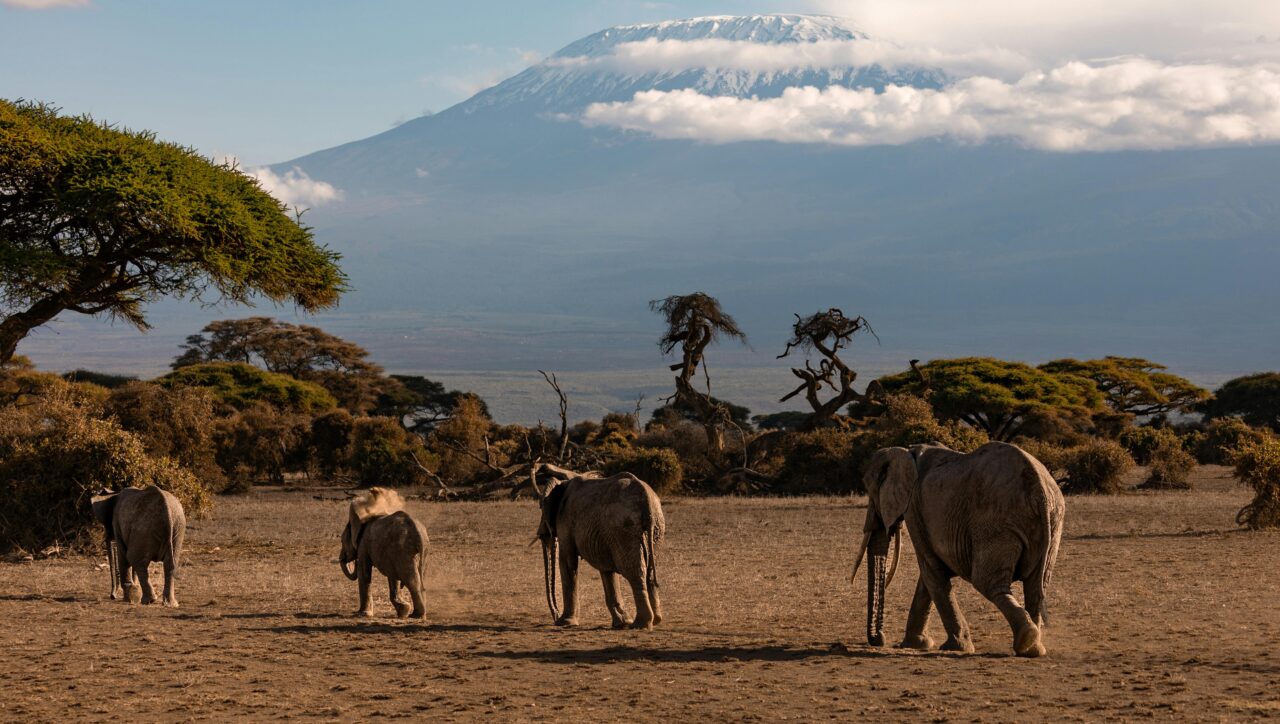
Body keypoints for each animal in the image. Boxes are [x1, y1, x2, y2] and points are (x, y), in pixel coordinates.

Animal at [339, 488, 429, 619]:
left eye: (341, 541)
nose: (352, 560)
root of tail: (417, 531)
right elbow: (393, 576)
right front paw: (403, 611)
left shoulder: (364, 543)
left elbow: (364, 572)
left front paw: (362, 614)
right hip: (419, 551)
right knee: (420, 578)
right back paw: (418, 614)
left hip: (404, 549)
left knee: (412, 580)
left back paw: (416, 615)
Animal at [536, 471, 665, 629]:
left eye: (541, 506)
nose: (555, 616)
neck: (563, 483)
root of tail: (646, 500)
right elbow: (606, 569)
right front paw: (621, 623)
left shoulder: (565, 521)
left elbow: (567, 561)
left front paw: (565, 623)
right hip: (655, 529)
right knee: (649, 571)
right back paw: (655, 620)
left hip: (624, 528)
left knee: (635, 572)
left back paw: (640, 624)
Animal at [853, 441, 1064, 657]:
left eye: (871, 491)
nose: (879, 639)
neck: (906, 452)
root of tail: (1039, 491)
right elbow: (929, 576)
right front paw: (916, 644)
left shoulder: (914, 509)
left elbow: (931, 570)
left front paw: (955, 647)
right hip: (1052, 522)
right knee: (1036, 586)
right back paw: (1033, 648)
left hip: (995, 524)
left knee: (988, 582)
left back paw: (1026, 639)